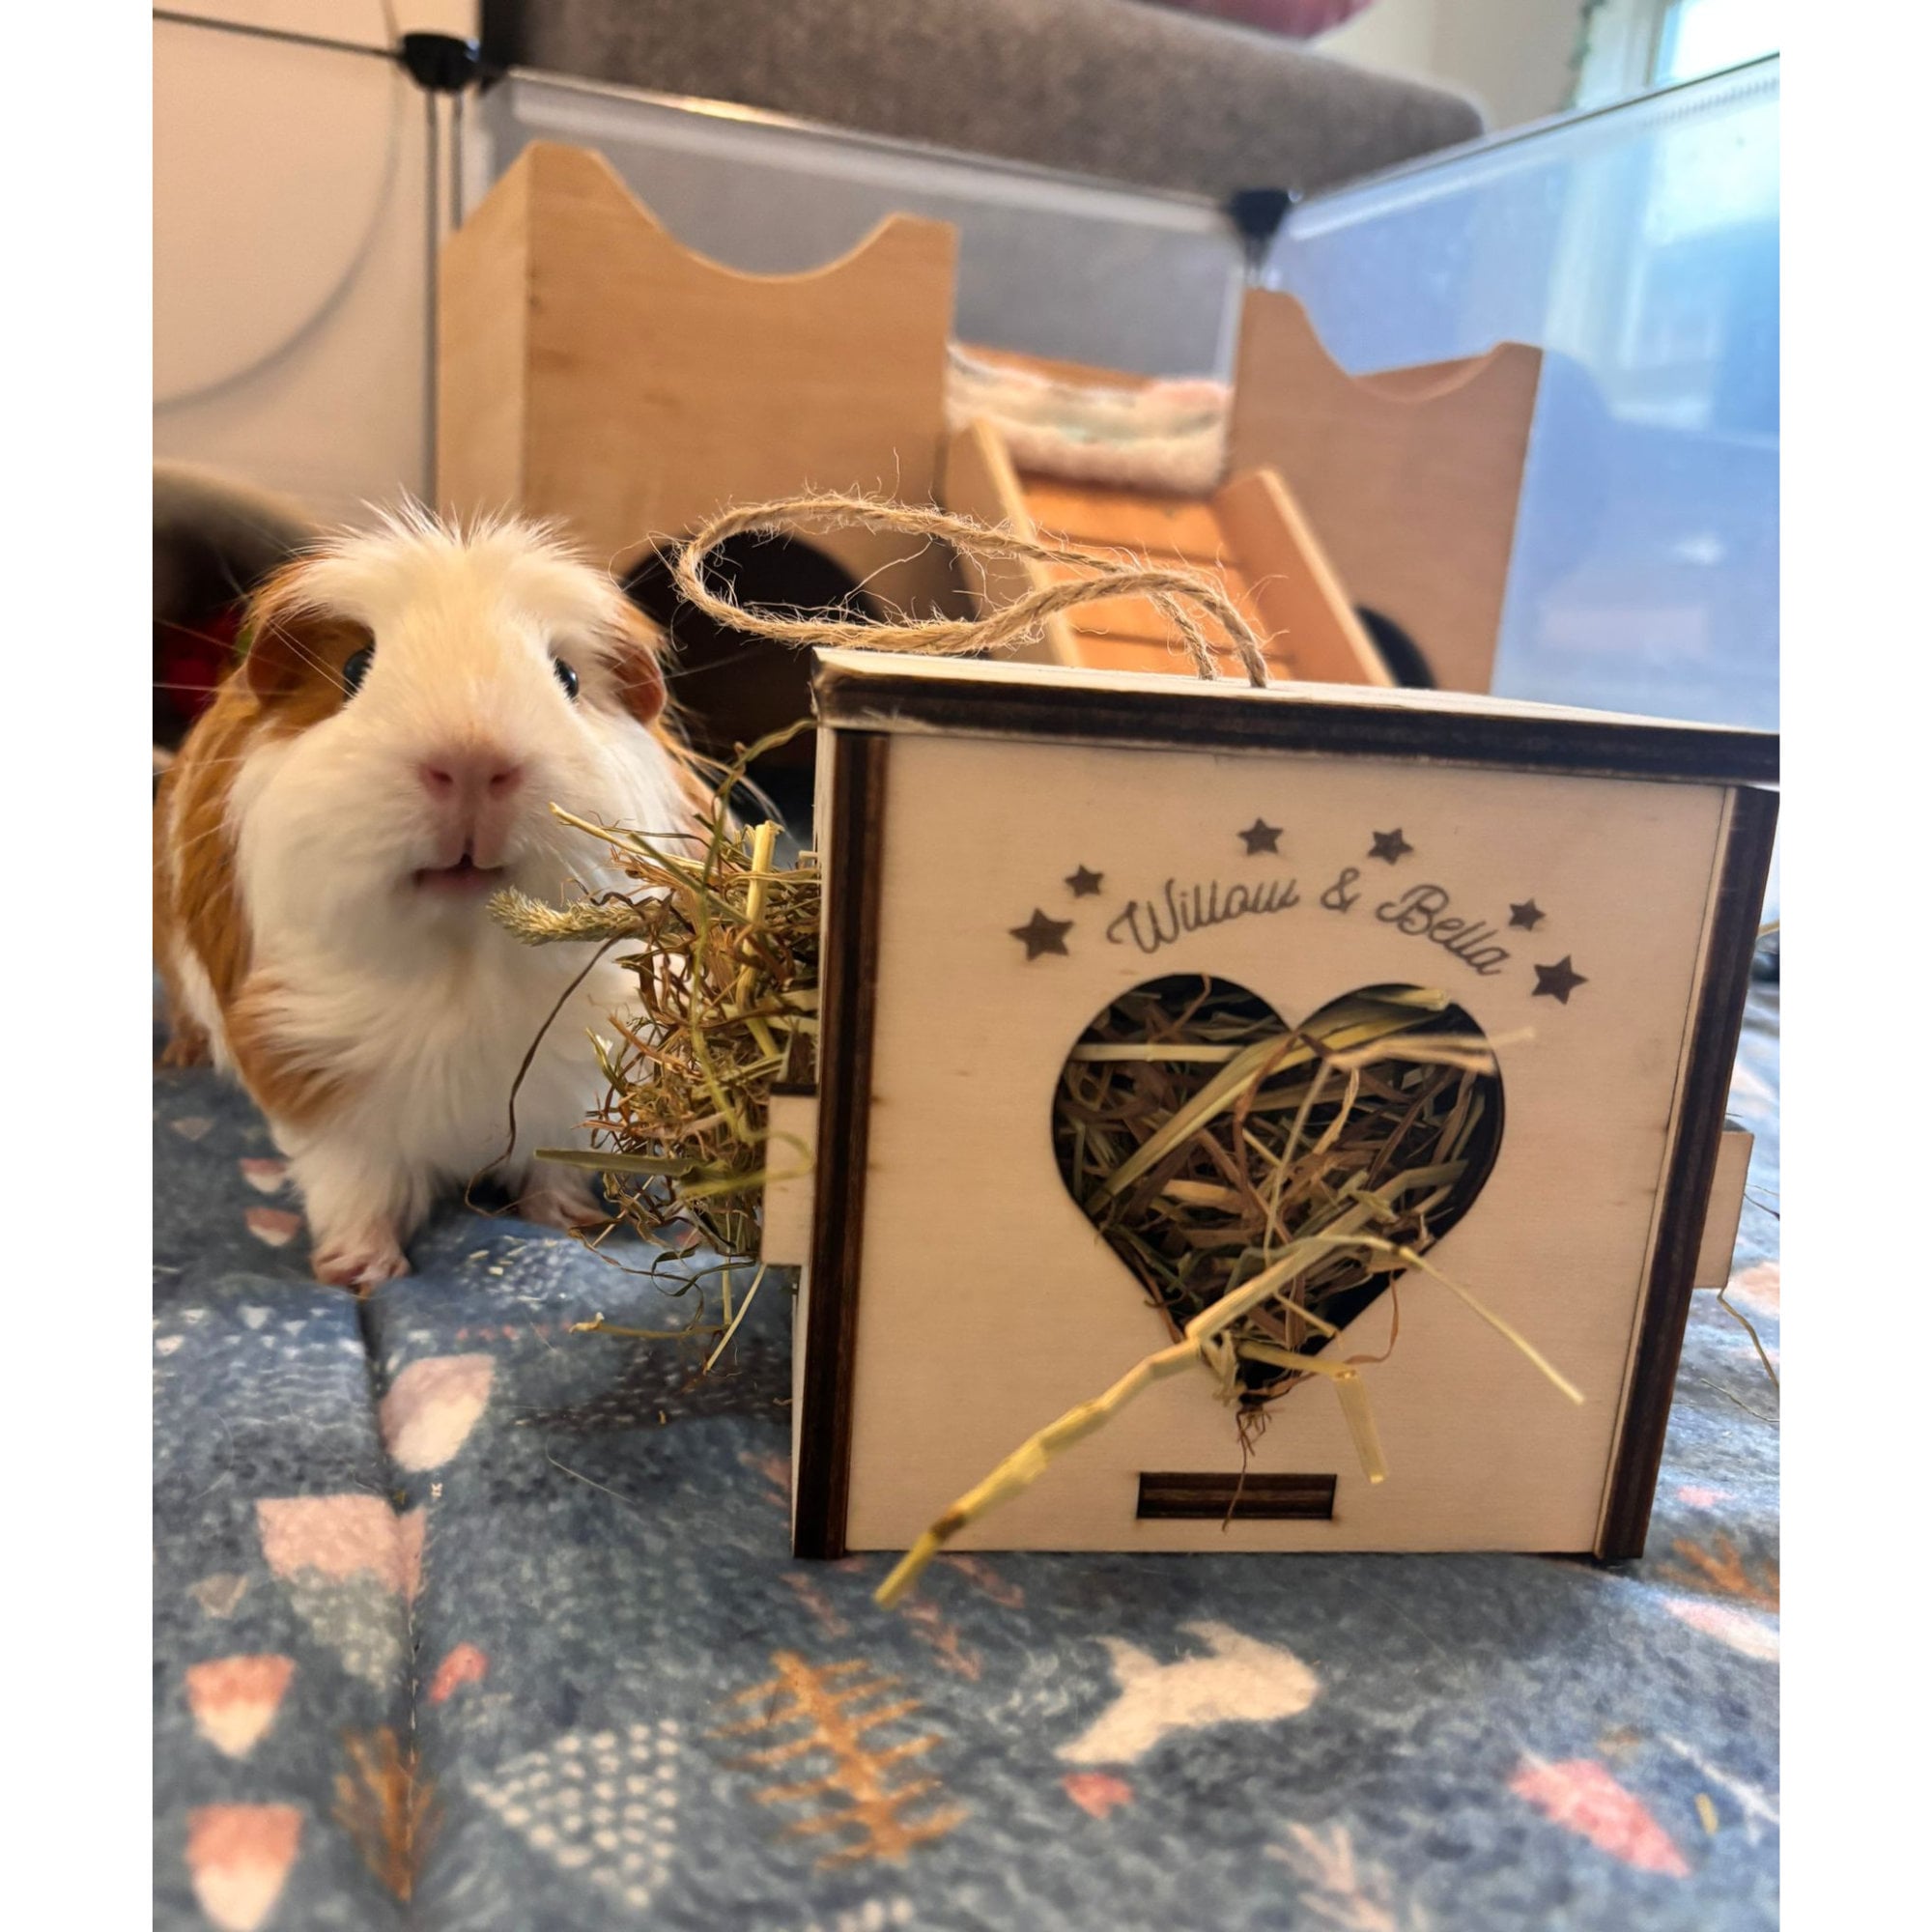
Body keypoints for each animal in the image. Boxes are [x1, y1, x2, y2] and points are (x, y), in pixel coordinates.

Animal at [155, 507, 707, 1289]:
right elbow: (353, 1194)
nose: (473, 761)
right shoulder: (314, 1086)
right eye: (355, 669)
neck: (464, 966)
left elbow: (553, 1168)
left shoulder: (570, 1084)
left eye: (567, 676)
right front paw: (361, 1275)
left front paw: (567, 1227)